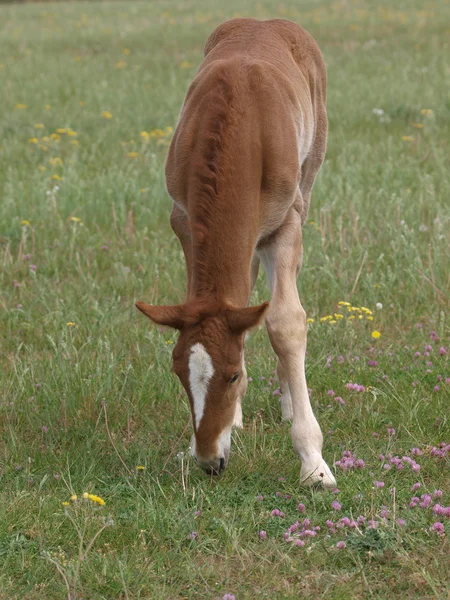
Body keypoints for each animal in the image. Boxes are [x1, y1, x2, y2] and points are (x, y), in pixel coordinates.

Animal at [137, 18, 338, 488]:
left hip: (308, 182)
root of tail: (269, 21)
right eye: (178, 373)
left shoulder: (285, 223)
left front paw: (313, 462)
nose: (210, 461)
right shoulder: (183, 220)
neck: (240, 124)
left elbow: (286, 322)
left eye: (232, 374)